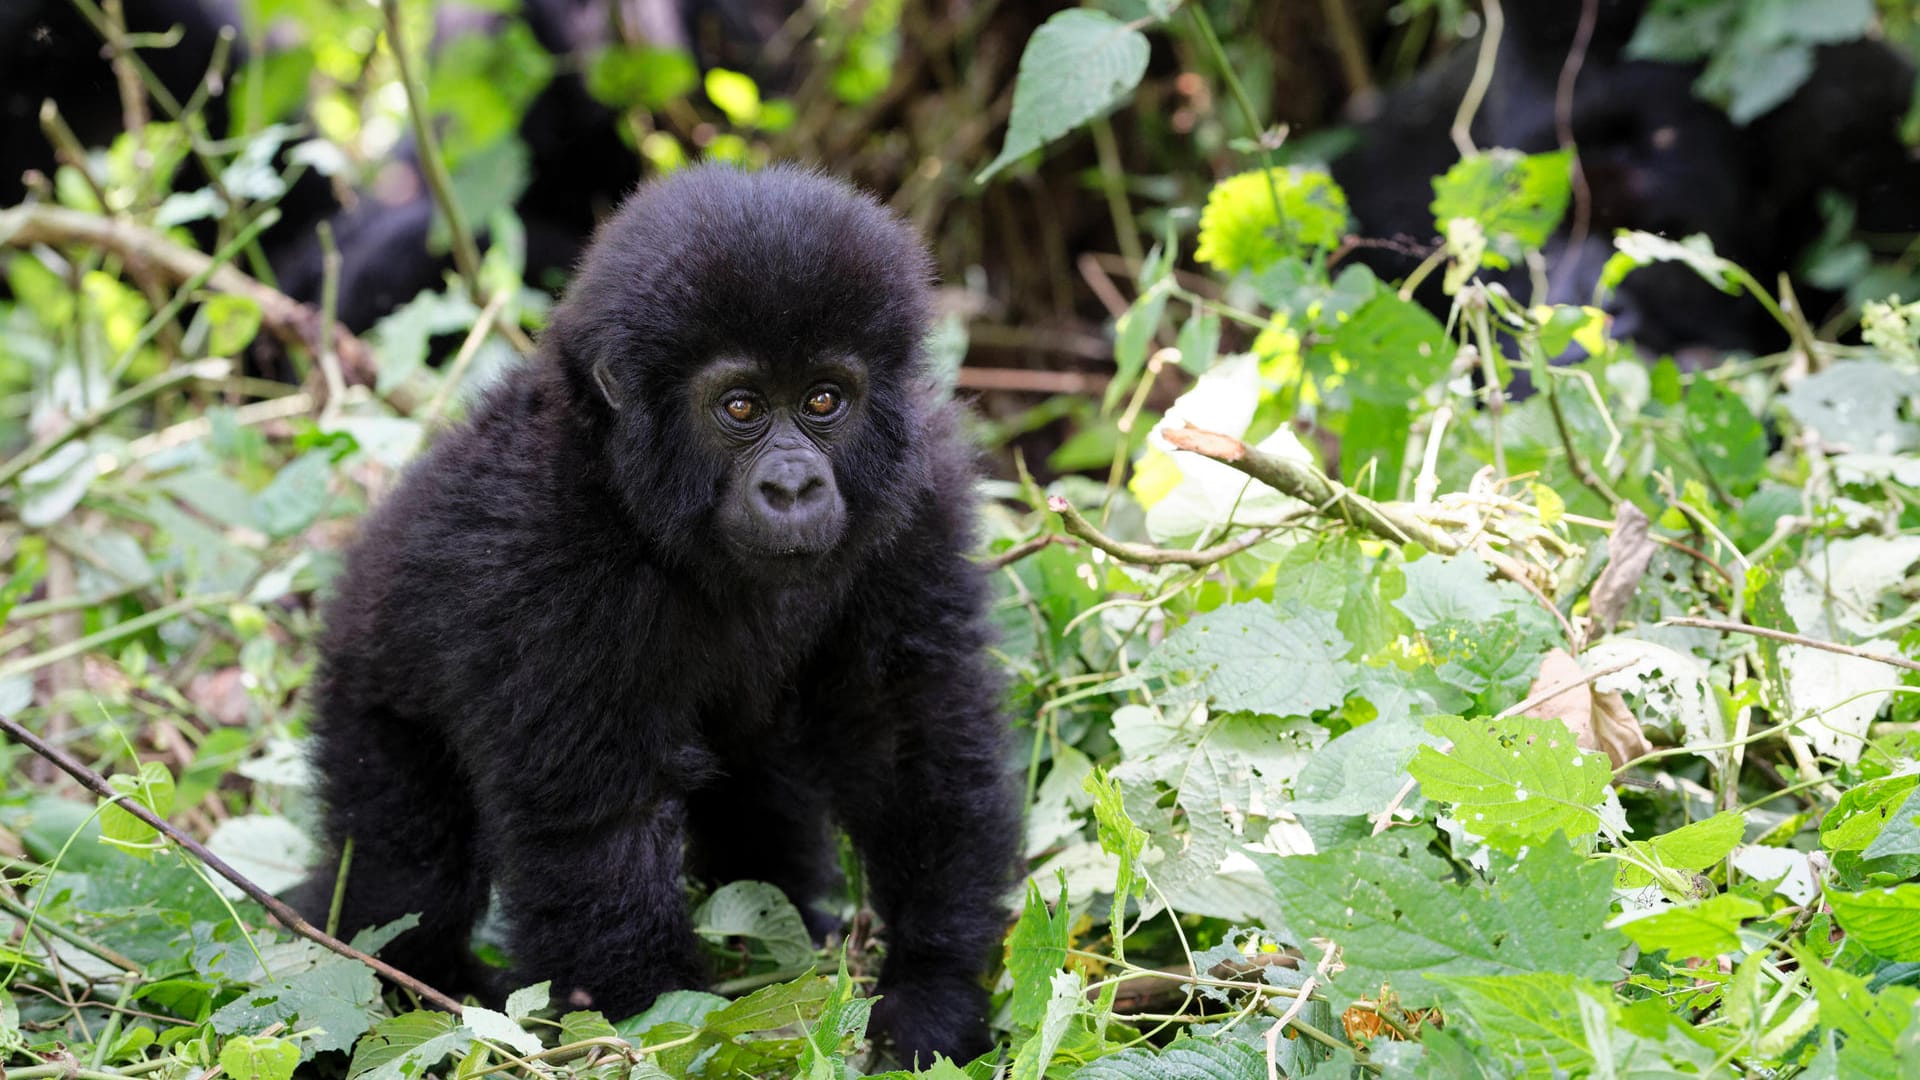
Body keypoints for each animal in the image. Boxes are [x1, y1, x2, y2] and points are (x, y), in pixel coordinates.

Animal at [288, 161, 1021, 1060]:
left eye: (824, 400)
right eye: (740, 408)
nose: (792, 487)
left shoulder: (920, 495)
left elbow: (909, 734)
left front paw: (931, 988)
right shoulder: (544, 552)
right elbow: (599, 826)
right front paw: (665, 1037)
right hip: (366, 700)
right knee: (402, 876)